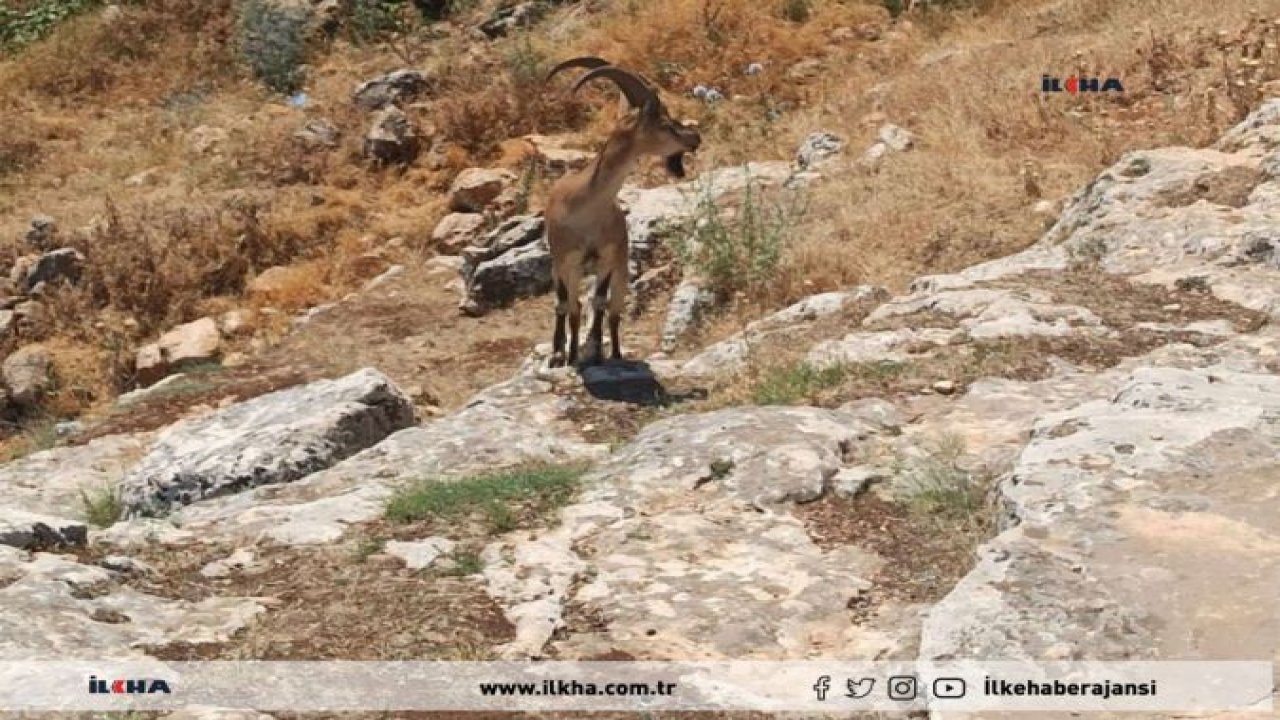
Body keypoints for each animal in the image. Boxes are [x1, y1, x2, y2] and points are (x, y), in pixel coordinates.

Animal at [540, 57, 701, 363]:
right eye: (665, 124)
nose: (695, 137)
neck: (586, 208)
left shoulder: (607, 257)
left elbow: (599, 302)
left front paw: (594, 350)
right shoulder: (568, 261)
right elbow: (572, 307)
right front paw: (568, 356)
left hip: (622, 270)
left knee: (613, 314)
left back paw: (613, 352)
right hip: (560, 268)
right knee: (565, 305)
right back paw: (562, 352)